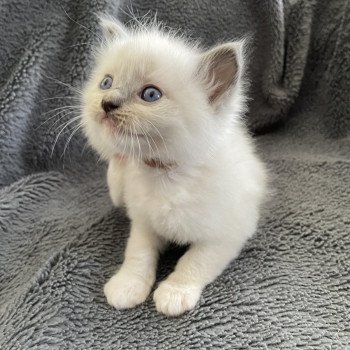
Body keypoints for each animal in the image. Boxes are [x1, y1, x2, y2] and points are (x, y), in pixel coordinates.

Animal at [82, 17, 268, 318]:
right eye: (106, 83)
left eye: (150, 94)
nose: (107, 103)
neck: (163, 173)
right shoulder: (144, 223)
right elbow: (137, 255)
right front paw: (127, 287)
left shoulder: (227, 234)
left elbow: (193, 262)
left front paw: (174, 294)